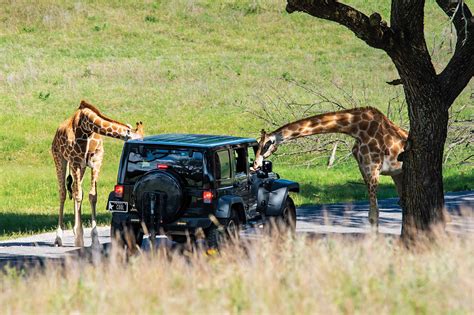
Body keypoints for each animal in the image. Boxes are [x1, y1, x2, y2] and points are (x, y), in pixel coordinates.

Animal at [51, 100, 144, 247]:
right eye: (139, 140)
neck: (86, 128)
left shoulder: (96, 162)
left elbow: (92, 195)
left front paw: (94, 239)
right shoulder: (75, 162)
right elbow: (78, 195)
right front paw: (79, 238)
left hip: (80, 167)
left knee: (75, 190)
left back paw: (74, 230)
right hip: (60, 158)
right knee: (63, 192)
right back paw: (59, 237)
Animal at [254, 107, 410, 230]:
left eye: (267, 144)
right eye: (257, 144)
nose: (255, 164)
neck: (356, 129)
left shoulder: (373, 169)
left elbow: (374, 214)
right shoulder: (364, 169)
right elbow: (372, 214)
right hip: (397, 174)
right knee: (402, 203)